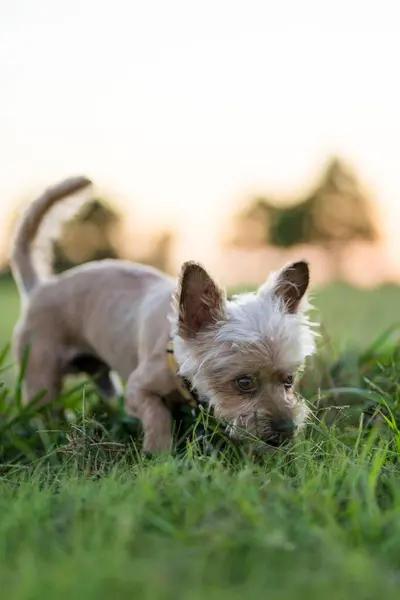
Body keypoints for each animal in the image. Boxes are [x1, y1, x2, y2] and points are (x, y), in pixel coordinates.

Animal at [9, 176, 318, 452]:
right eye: (244, 383)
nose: (288, 430)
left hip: (101, 377)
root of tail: (40, 287)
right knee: (44, 412)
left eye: (289, 380)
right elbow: (158, 414)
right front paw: (158, 454)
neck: (177, 357)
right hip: (41, 379)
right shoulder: (137, 390)